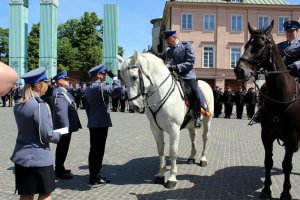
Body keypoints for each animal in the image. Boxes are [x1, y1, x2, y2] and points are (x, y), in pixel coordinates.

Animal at [119, 51, 213, 189]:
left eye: (134, 77)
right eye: (123, 79)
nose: (134, 106)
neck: (160, 95)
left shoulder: (174, 129)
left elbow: (173, 151)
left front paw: (172, 178)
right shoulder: (155, 129)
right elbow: (161, 150)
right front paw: (160, 174)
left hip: (207, 121)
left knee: (205, 138)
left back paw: (203, 159)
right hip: (190, 125)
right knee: (193, 138)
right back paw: (191, 157)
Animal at [234, 19, 300, 199]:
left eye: (260, 44)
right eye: (246, 44)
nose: (239, 70)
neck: (281, 97)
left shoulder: (292, 137)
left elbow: (287, 164)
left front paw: (285, 192)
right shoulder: (267, 134)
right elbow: (268, 162)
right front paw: (266, 190)